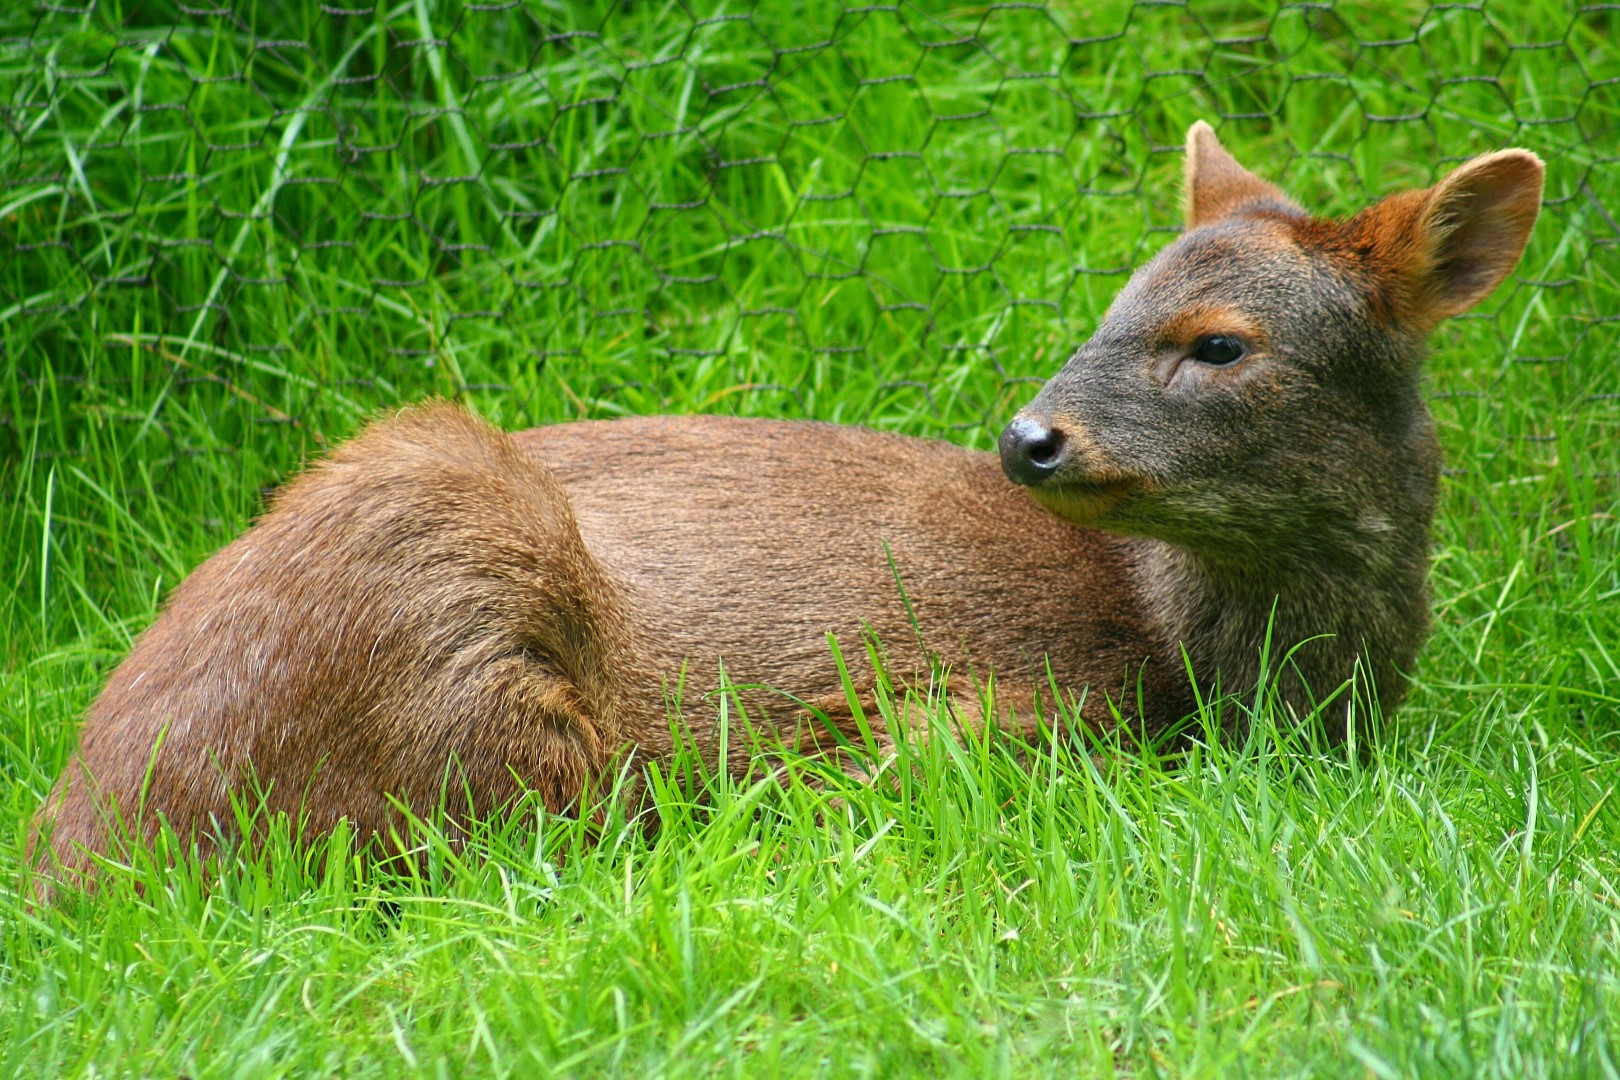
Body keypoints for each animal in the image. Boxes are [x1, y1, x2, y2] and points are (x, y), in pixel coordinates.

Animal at [28, 122, 1542, 893]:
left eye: (1221, 343)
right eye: (1109, 309)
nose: (1029, 439)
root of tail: (75, 853)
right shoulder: (984, 716)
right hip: (442, 554)